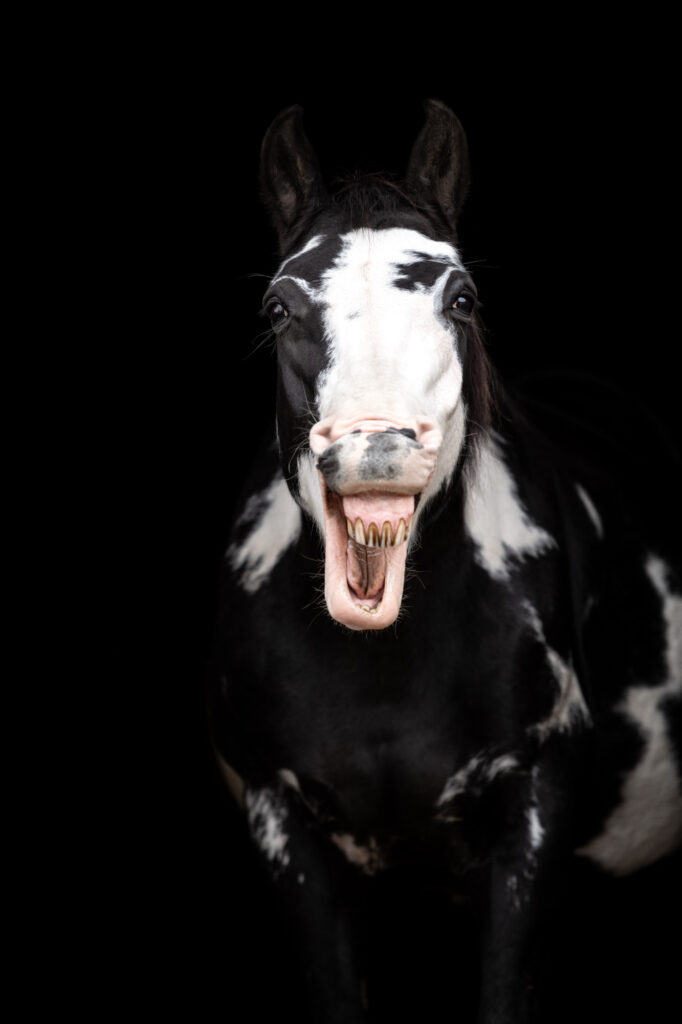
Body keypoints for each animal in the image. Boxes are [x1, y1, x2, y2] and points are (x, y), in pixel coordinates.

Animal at [208, 100, 682, 1023]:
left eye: (460, 298)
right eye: (279, 307)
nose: (377, 450)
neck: (387, 672)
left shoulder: (533, 817)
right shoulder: (285, 830)